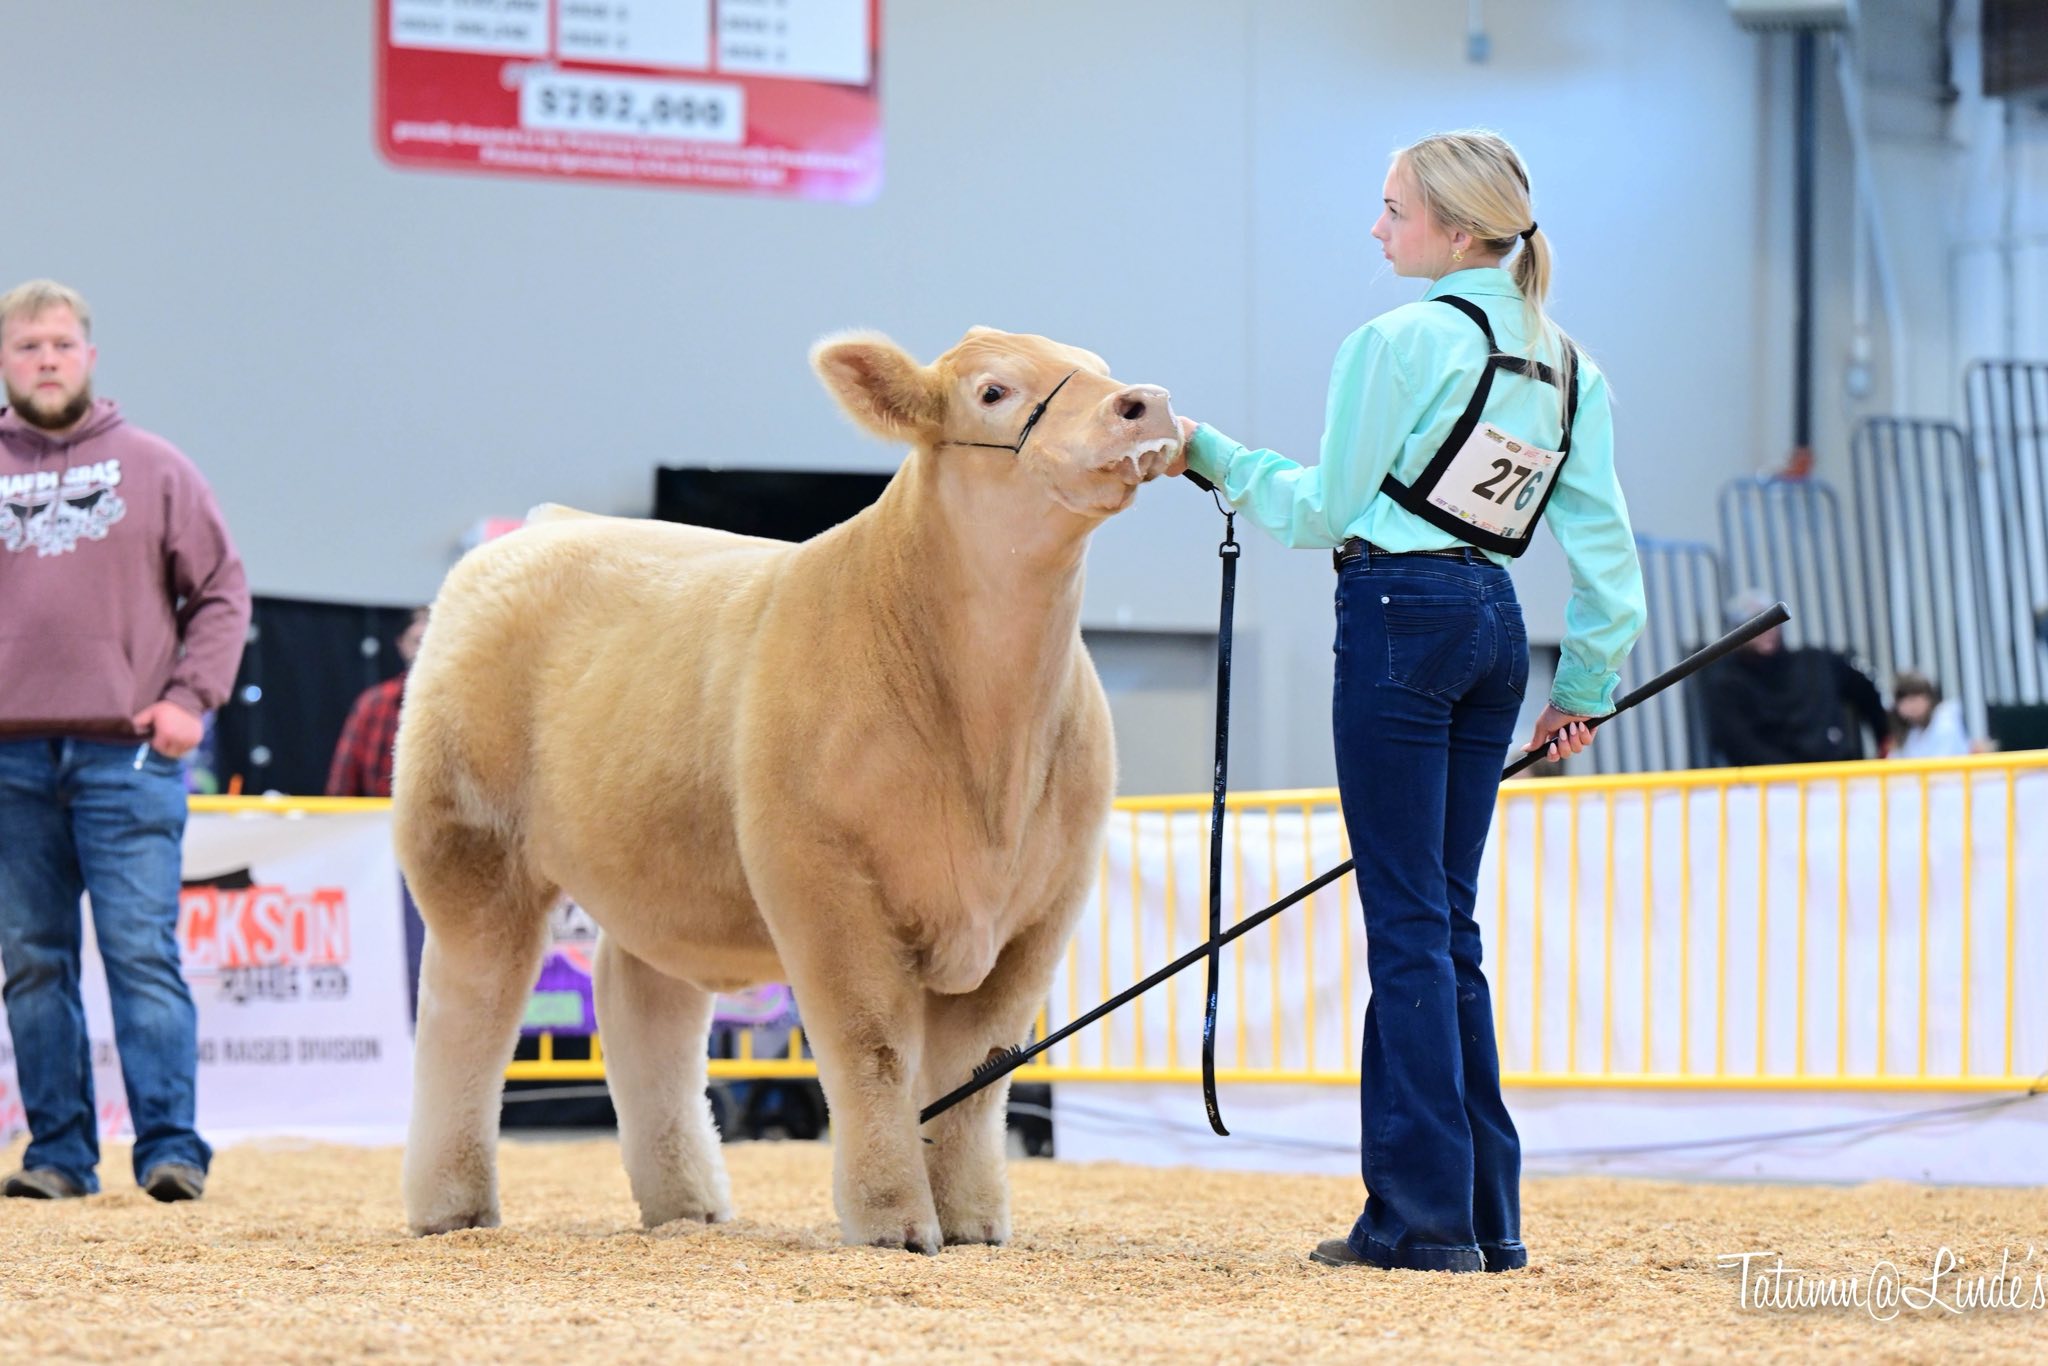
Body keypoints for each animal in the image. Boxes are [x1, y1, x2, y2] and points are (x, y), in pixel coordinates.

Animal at [395, 326, 1184, 1252]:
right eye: (993, 391)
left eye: (1097, 365)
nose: (1144, 403)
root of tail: (548, 525)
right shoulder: (824, 882)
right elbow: (873, 1051)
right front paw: (894, 1220)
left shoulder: (1042, 909)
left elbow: (978, 1073)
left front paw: (973, 1222)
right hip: (466, 842)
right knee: (467, 1012)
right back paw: (452, 1207)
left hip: (661, 871)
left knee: (645, 1011)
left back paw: (689, 1205)